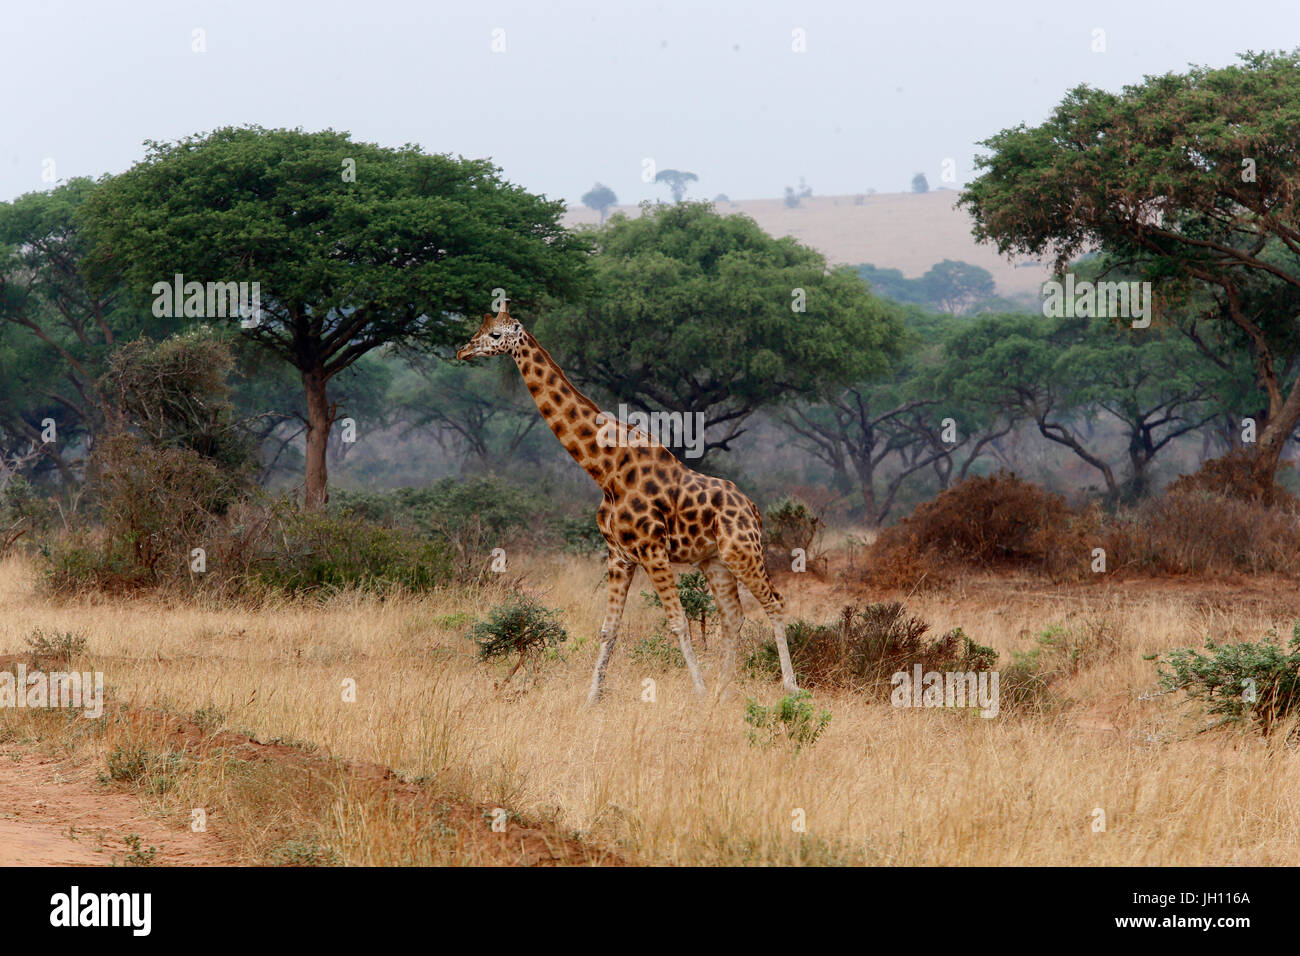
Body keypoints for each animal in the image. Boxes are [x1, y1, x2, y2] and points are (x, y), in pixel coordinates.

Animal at [457, 303, 800, 707]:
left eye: (495, 335)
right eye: (479, 329)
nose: (462, 351)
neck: (604, 468)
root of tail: (754, 509)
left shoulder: (652, 550)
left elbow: (678, 622)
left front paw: (698, 693)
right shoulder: (619, 555)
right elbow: (609, 628)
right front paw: (592, 699)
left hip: (741, 551)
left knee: (775, 603)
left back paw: (788, 688)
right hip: (713, 559)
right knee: (732, 616)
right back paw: (722, 692)